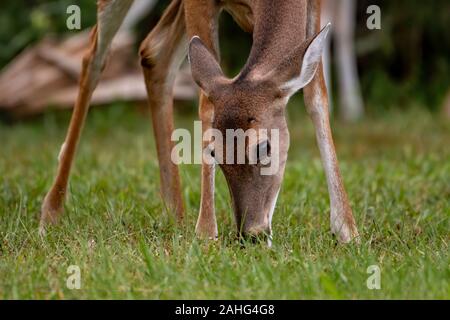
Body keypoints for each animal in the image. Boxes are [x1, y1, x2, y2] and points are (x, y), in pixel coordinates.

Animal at [40, 0, 360, 244]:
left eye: (263, 147)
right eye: (214, 152)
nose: (252, 235)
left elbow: (316, 94)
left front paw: (347, 230)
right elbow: (206, 104)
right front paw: (206, 232)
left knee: (154, 51)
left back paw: (175, 212)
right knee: (95, 54)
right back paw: (52, 210)